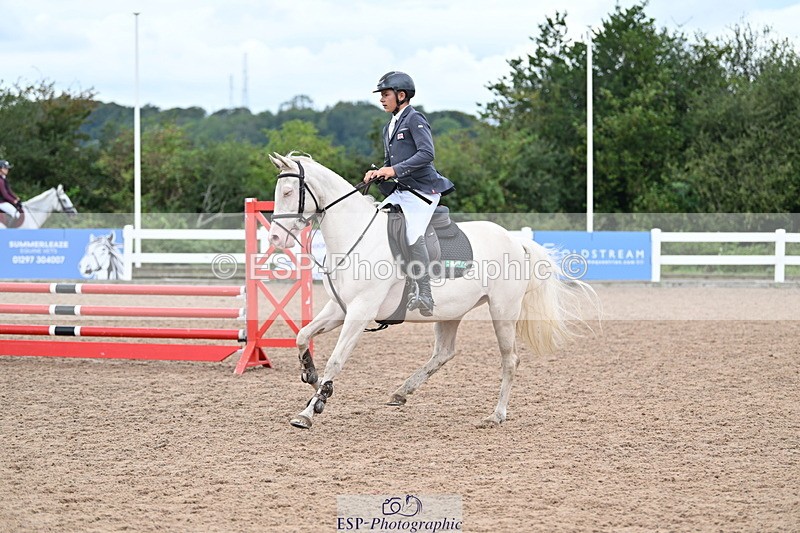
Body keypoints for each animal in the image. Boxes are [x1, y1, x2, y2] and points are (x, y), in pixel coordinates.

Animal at [266, 152, 597, 429]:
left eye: (288, 193)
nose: (275, 239)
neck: (357, 236)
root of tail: (516, 240)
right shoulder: (339, 308)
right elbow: (302, 335)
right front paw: (312, 377)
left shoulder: (360, 311)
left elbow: (336, 359)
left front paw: (311, 409)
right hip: (450, 312)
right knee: (444, 353)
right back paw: (401, 392)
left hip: (502, 310)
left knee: (510, 360)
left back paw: (496, 415)